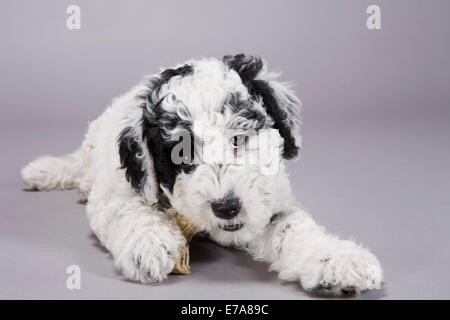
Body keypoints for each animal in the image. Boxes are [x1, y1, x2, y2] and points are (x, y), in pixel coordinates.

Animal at [22, 54, 384, 296]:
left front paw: (337, 260)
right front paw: (148, 244)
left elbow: (291, 227)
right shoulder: (115, 189)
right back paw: (42, 170)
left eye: (239, 138)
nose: (226, 208)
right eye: (181, 155)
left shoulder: (267, 202)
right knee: (79, 164)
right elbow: (126, 208)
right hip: (94, 144)